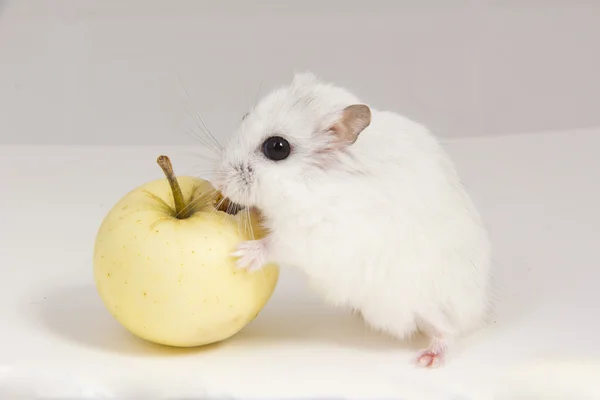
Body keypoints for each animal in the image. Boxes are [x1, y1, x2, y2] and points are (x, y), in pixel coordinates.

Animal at [214, 71, 492, 366]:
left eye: (277, 147)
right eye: (245, 116)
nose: (218, 182)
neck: (309, 181)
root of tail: (480, 308)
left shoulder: (313, 235)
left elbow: (276, 245)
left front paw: (242, 255)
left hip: (432, 303)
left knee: (447, 331)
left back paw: (428, 359)